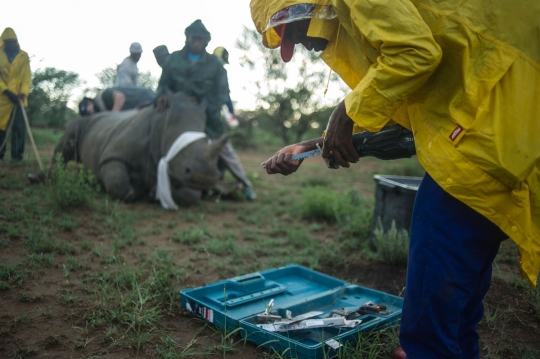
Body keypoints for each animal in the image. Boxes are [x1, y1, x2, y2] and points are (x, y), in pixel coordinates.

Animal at [28, 92, 227, 208]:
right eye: (175, 141)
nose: (204, 177)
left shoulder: (178, 167)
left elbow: (191, 194)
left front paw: (153, 192)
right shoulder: (113, 155)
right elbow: (120, 184)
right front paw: (141, 192)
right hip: (83, 122)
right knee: (67, 141)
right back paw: (36, 178)